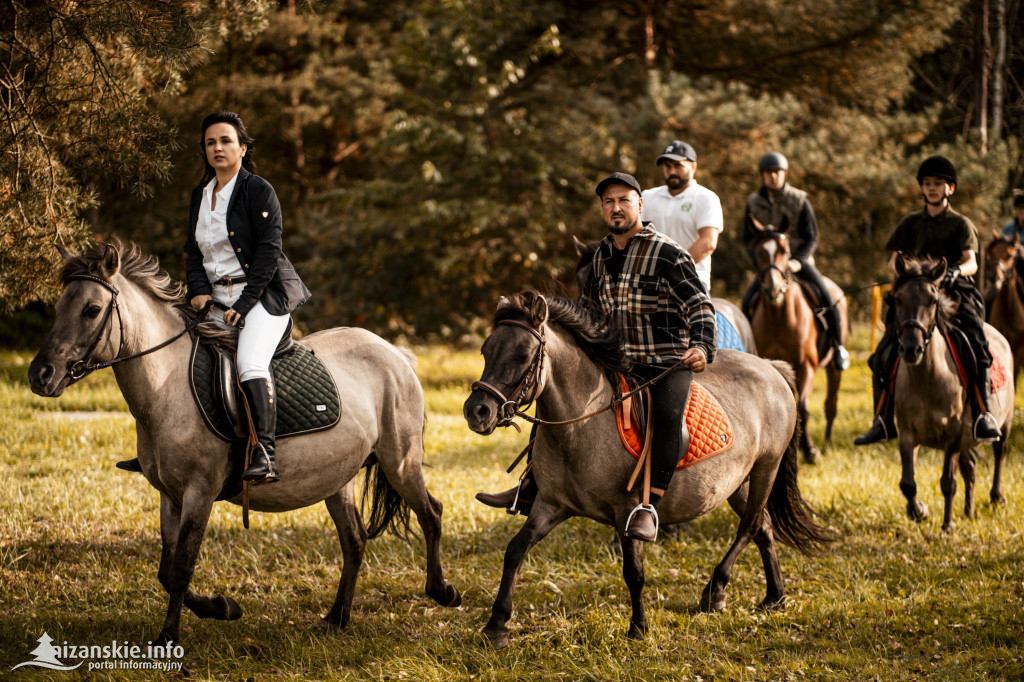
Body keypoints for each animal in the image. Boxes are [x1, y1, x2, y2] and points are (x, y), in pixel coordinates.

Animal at [27, 238, 460, 643]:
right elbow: (166, 570)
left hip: (400, 461)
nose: (41, 375)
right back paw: (336, 617)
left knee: (431, 513)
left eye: (92, 309)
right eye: (58, 308)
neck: (167, 384)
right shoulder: (169, 494)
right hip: (339, 478)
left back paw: (442, 591)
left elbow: (181, 566)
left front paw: (172, 635)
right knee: (354, 541)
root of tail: (394, 353)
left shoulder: (199, 491)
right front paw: (222, 607)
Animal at [464, 288, 831, 647]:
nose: (476, 411)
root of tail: (770, 367)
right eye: (485, 351)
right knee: (764, 527)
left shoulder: (627, 510)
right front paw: (496, 626)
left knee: (750, 526)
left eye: (522, 356)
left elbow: (634, 572)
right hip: (737, 482)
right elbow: (515, 551)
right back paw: (774, 596)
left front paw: (638, 628)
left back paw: (716, 590)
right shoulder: (550, 505)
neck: (582, 424)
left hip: (766, 468)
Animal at [892, 253, 1011, 524]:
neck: (927, 380)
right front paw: (919, 510)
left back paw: (996, 497)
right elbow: (907, 483)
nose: (911, 349)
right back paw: (968, 511)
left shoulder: (953, 435)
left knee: (999, 452)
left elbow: (948, 482)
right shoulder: (907, 434)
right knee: (971, 469)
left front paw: (947, 526)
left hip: (1004, 422)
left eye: (933, 300)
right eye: (898, 299)